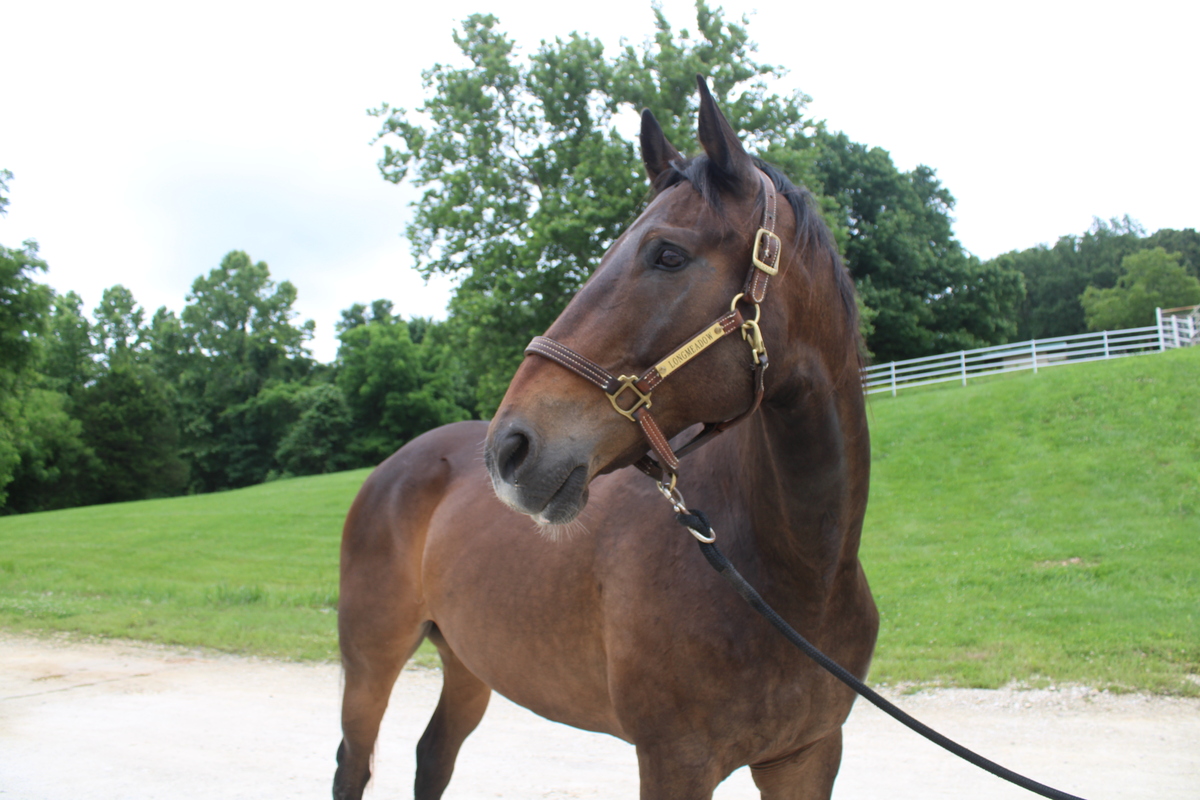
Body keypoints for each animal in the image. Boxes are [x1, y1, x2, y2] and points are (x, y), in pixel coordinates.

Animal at [334, 77, 877, 800]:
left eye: (667, 253)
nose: (510, 449)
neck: (799, 575)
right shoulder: (675, 761)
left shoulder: (809, 754)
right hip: (372, 661)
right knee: (354, 764)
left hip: (469, 661)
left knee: (434, 756)